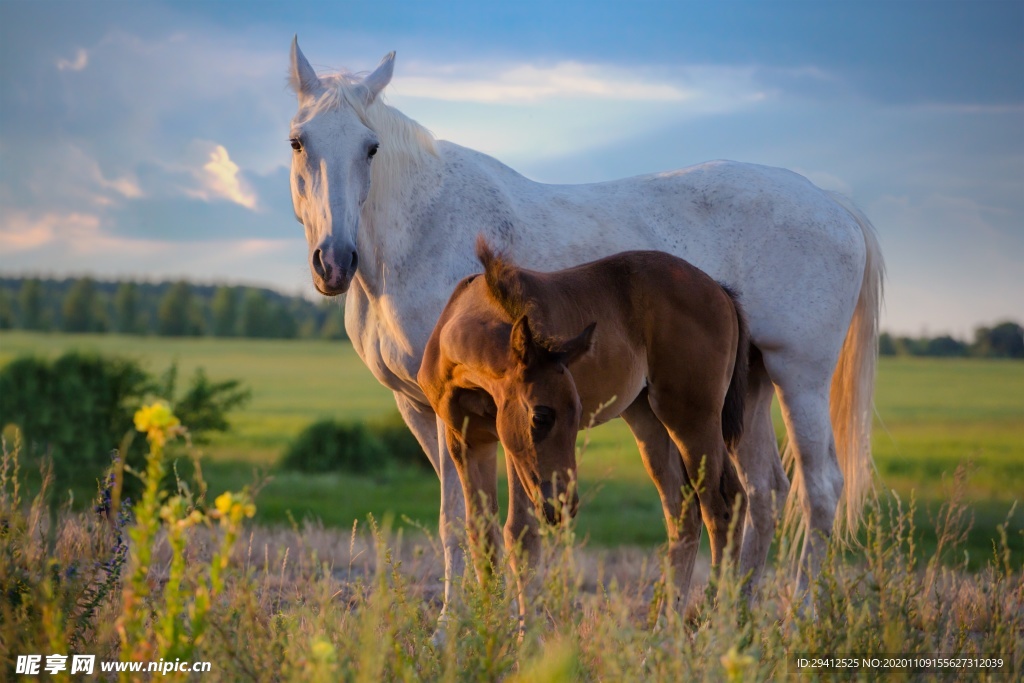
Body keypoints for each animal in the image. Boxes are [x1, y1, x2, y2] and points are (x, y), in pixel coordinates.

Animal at [286, 40, 880, 618]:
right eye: (298, 142)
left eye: (371, 147)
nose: (333, 262)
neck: (415, 234)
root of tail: (836, 207)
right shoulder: (419, 406)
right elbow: (463, 521)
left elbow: (462, 521)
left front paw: (456, 627)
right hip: (748, 386)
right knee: (762, 493)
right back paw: (739, 618)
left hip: (797, 377)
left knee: (817, 491)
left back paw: (800, 618)